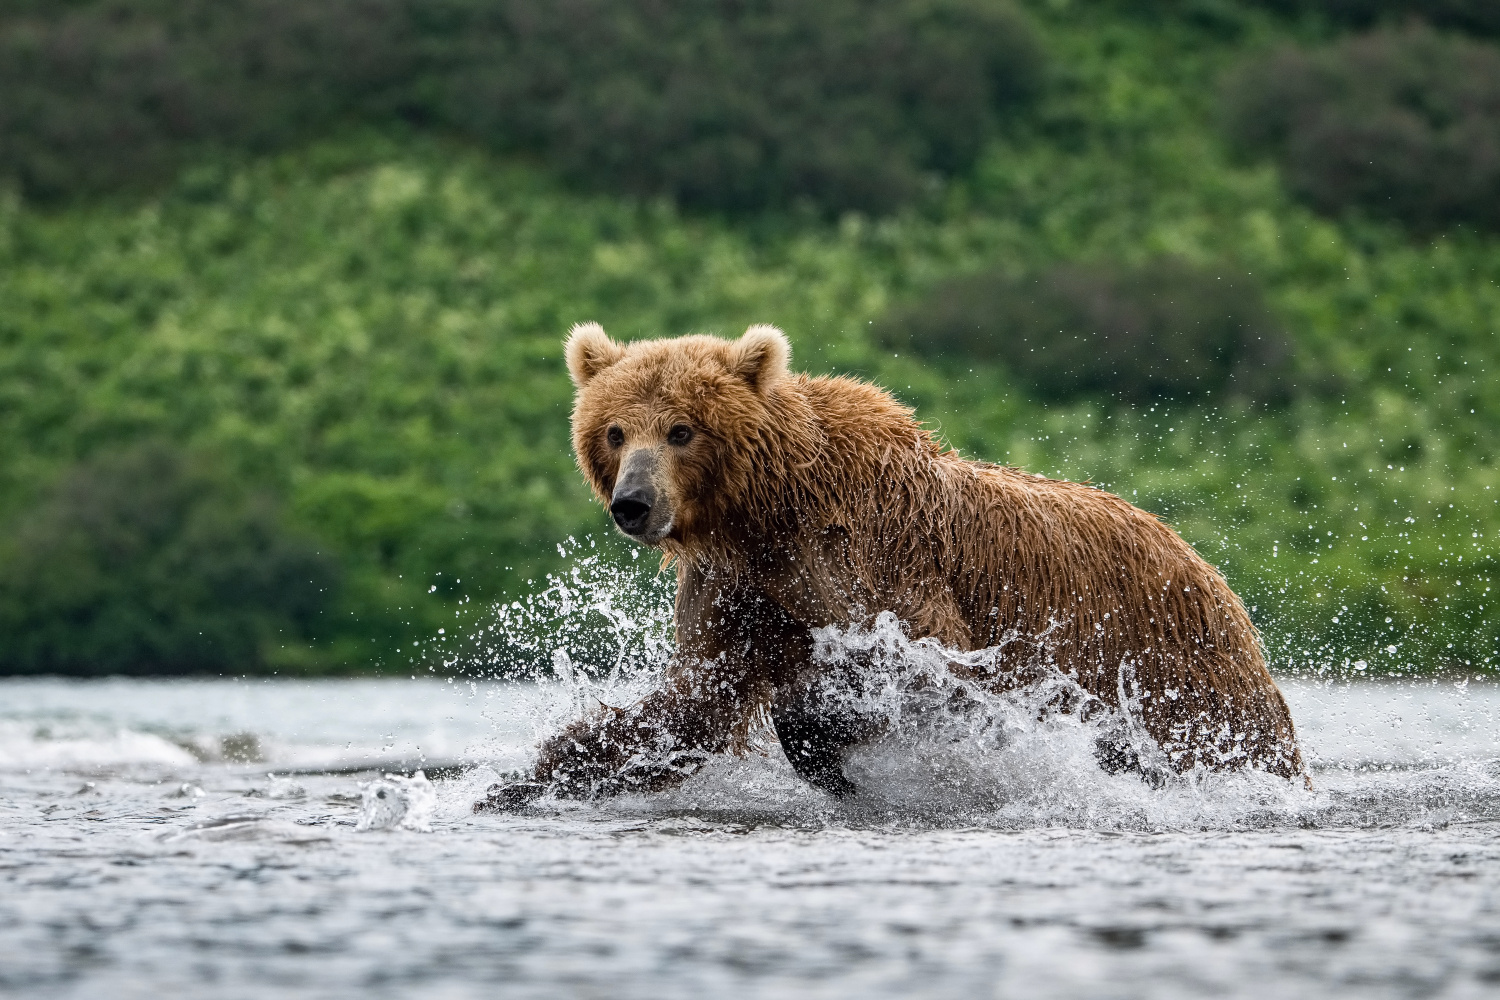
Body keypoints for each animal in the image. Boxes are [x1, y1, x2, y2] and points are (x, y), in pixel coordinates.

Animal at [477, 325, 1302, 809]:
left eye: (682, 429)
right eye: (615, 430)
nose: (634, 503)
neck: (768, 514)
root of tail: (1204, 561)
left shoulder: (877, 556)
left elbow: (923, 674)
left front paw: (824, 746)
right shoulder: (737, 590)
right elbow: (693, 703)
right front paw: (520, 781)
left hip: (1174, 662)